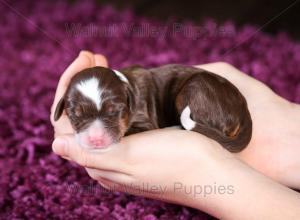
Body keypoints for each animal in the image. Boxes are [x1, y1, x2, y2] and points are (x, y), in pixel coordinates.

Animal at [54, 64, 253, 152]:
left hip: (195, 88)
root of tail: (244, 111)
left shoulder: (145, 122)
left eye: (115, 112)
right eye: (75, 116)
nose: (96, 140)